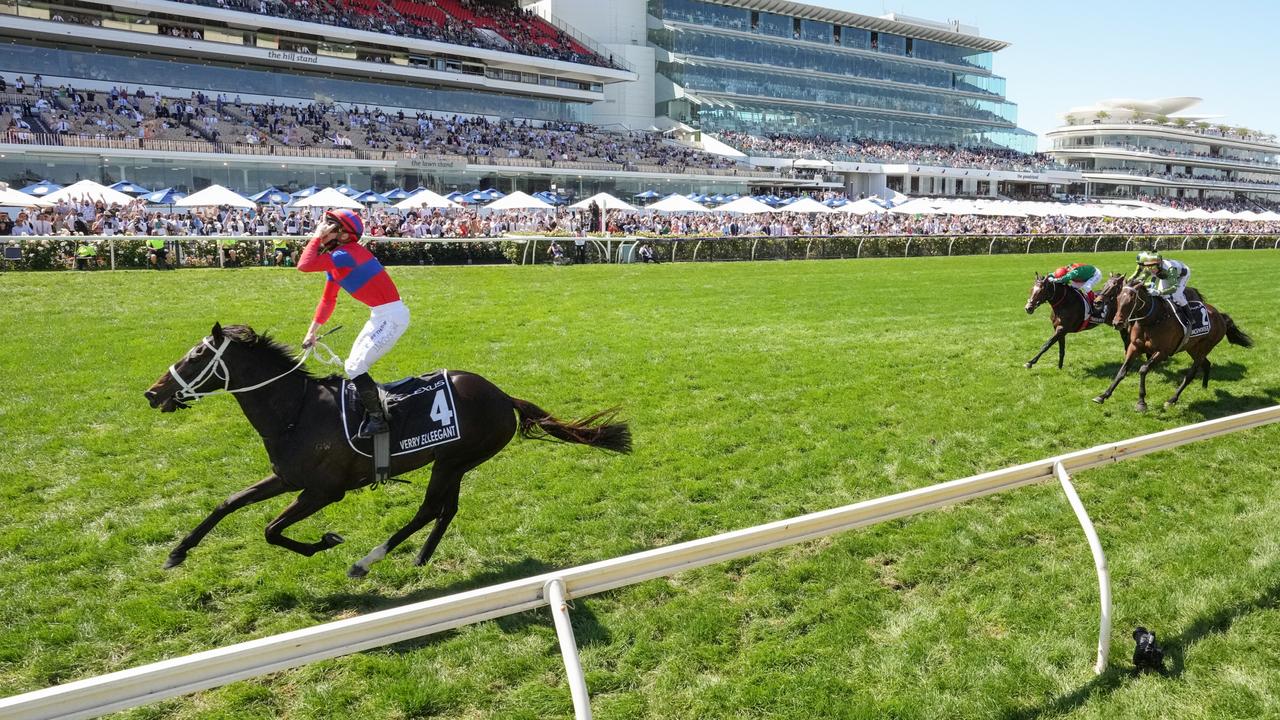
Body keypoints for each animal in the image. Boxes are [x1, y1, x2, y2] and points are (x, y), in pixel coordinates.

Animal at [144, 325, 629, 576]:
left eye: (196, 355)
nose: (153, 393)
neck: (295, 411)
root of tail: (503, 396)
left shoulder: (324, 491)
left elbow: (270, 530)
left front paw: (325, 541)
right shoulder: (286, 477)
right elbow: (228, 503)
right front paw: (177, 553)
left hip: (453, 459)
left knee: (429, 509)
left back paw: (367, 561)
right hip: (453, 462)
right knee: (446, 510)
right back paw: (420, 556)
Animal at [1090, 283, 1249, 412]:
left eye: (1130, 301)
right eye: (1117, 300)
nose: (1117, 323)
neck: (1152, 320)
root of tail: (1221, 316)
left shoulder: (1163, 352)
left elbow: (1143, 369)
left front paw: (1141, 402)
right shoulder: (1134, 347)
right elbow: (1122, 371)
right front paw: (1103, 395)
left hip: (1205, 347)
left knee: (1191, 374)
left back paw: (1172, 399)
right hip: (1193, 348)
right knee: (1206, 364)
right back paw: (1204, 387)